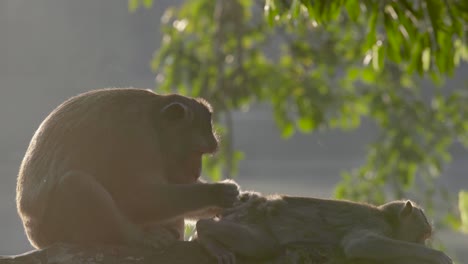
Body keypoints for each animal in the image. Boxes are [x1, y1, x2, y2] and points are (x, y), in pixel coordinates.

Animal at [16, 88, 239, 250]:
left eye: (203, 154)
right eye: (197, 151)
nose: (196, 172)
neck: (153, 119)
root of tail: (34, 237)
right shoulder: (135, 136)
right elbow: (136, 197)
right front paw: (217, 193)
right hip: (55, 229)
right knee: (76, 183)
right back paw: (137, 238)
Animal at [196, 192, 452, 264]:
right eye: (423, 235)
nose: (424, 242)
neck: (387, 219)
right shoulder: (375, 226)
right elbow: (359, 245)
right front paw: (437, 256)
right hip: (253, 219)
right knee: (258, 245)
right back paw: (204, 231)